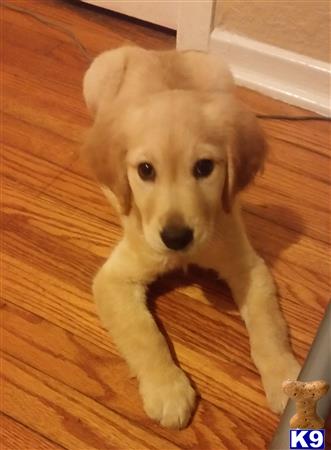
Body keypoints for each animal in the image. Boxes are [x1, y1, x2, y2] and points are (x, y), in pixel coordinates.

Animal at [82, 46, 300, 428]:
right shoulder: (113, 280)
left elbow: (268, 326)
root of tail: (152, 49)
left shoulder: (248, 266)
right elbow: (143, 335)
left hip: (220, 73)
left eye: (204, 168)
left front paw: (285, 378)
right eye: (145, 170)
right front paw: (167, 390)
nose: (176, 237)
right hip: (97, 74)